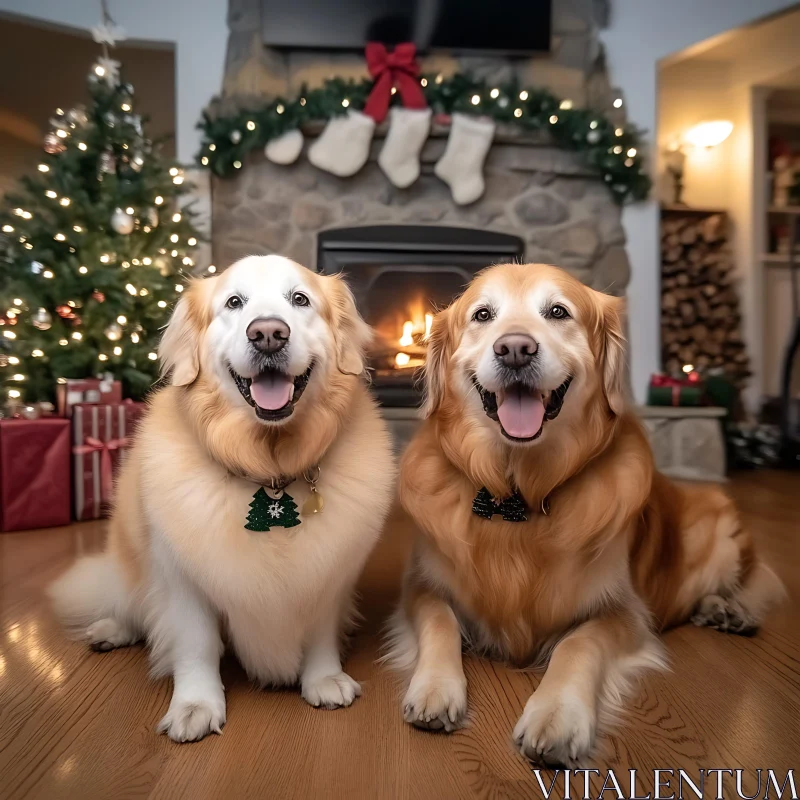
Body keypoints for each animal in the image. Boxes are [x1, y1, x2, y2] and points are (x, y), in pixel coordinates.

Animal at [48, 256, 396, 744]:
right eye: (234, 302)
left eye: (300, 299)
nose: (268, 333)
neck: (269, 468)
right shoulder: (183, 578)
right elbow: (195, 646)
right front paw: (196, 704)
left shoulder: (330, 572)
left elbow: (321, 632)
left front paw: (324, 677)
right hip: (128, 562)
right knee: (127, 602)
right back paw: (110, 628)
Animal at [388, 264, 780, 768]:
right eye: (482, 314)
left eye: (558, 312)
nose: (515, 349)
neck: (518, 494)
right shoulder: (422, 587)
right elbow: (441, 620)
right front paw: (435, 688)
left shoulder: (623, 612)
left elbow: (579, 642)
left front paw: (557, 715)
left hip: (719, 523)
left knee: (746, 581)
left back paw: (731, 609)